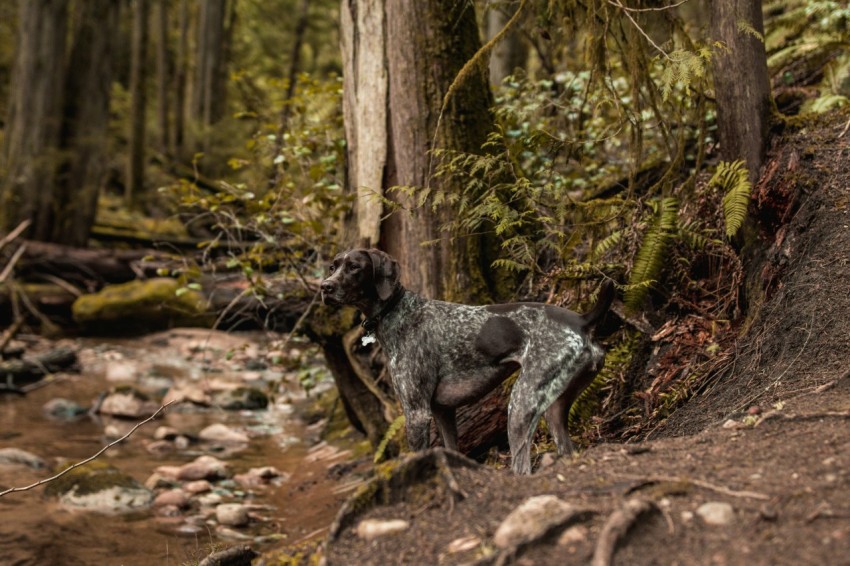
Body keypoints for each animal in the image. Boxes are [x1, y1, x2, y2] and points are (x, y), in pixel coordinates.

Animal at [318, 248, 608, 474]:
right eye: (333, 266)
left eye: (354, 267)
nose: (325, 287)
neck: (398, 311)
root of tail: (582, 320)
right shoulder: (442, 412)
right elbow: (452, 451)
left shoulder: (416, 413)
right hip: (553, 409)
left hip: (520, 406)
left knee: (522, 467)